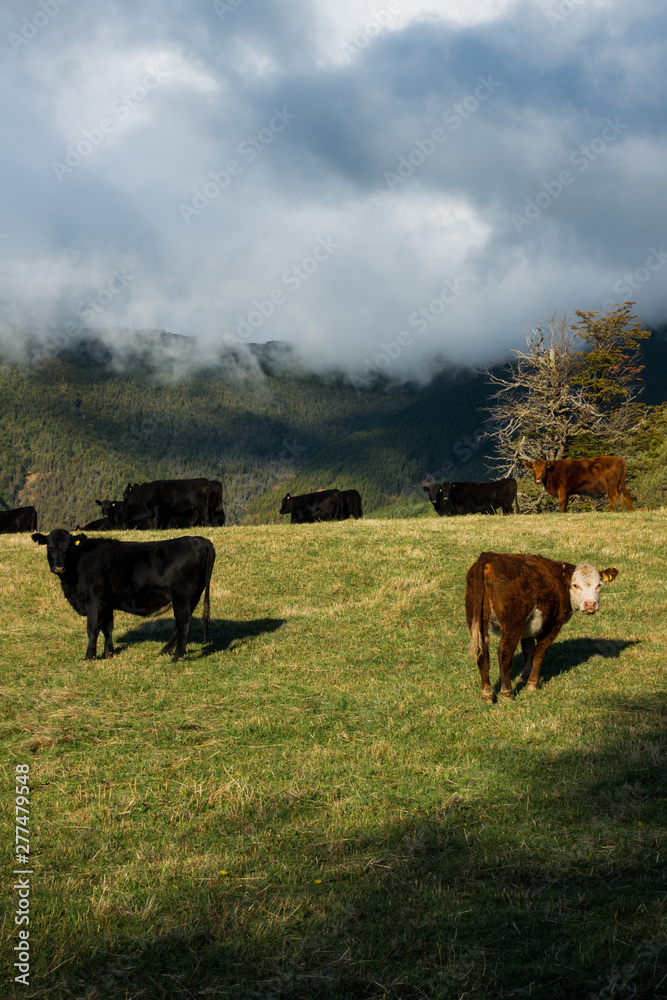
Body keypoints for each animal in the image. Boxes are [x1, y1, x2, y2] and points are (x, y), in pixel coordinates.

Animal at [32, 529, 215, 662]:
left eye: (69, 548)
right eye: (50, 547)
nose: (59, 567)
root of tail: (201, 540)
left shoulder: (94, 601)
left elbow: (92, 628)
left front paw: (89, 657)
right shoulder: (106, 603)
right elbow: (107, 628)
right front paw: (109, 654)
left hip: (181, 596)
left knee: (184, 622)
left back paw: (177, 657)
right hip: (190, 597)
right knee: (180, 623)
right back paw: (164, 652)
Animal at [465, 551, 619, 702]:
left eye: (598, 585)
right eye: (575, 585)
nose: (590, 604)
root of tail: (489, 557)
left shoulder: (527, 629)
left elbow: (528, 650)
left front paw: (525, 675)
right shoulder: (553, 625)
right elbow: (539, 653)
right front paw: (533, 684)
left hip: (478, 621)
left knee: (482, 653)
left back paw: (487, 695)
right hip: (513, 623)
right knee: (504, 653)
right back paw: (507, 694)